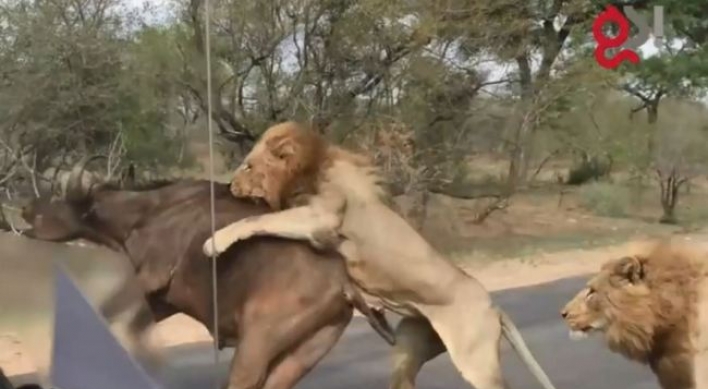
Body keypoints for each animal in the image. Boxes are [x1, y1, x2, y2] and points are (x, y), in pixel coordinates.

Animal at [11, 157, 396, 388]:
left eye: (58, 196)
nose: (26, 209)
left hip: (256, 346)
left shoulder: (146, 278)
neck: (146, 214)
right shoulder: (162, 300)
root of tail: (344, 282)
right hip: (305, 352)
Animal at [205, 121, 560, 388]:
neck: (310, 171)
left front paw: (215, 241)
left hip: (476, 361)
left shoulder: (322, 218)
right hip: (408, 344)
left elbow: (258, 219)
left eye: (249, 165)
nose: (230, 185)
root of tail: (493, 305)